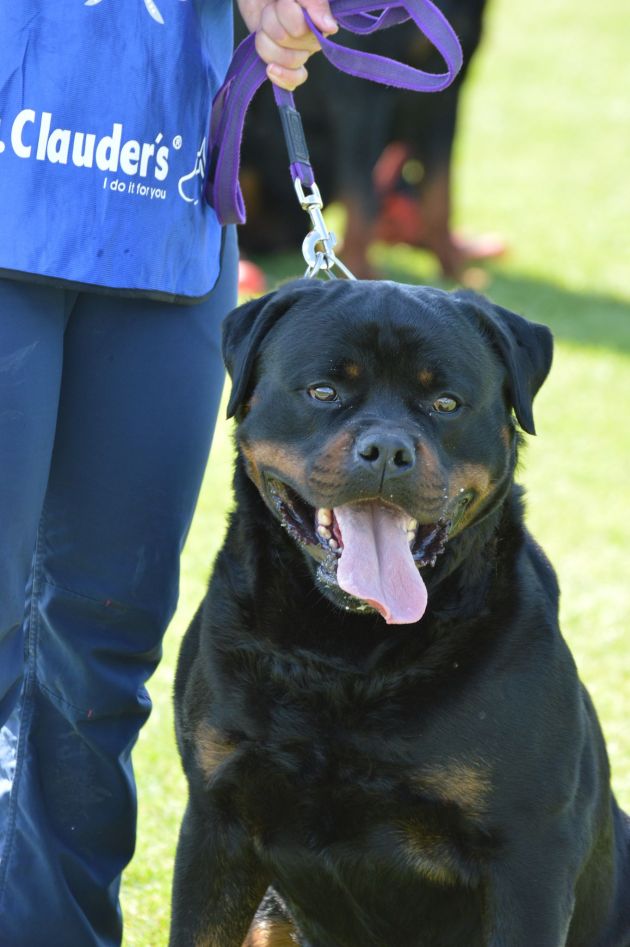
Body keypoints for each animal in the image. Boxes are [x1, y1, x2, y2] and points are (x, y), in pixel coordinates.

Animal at [169, 279, 630, 947]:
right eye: (324, 391)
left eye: (445, 403)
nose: (387, 448)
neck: (347, 654)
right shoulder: (215, 820)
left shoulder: (528, 857)